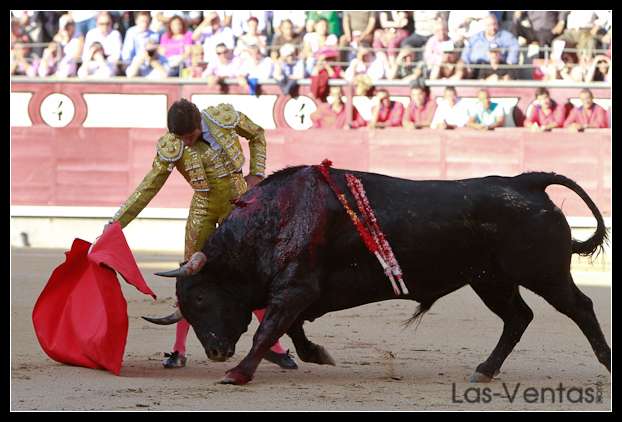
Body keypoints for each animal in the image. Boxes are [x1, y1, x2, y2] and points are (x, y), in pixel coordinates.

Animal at [144, 166, 612, 386]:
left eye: (200, 298)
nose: (216, 352)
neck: (273, 219)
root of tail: (526, 182)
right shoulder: (300, 293)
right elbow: (291, 328)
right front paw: (317, 354)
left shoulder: (296, 288)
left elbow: (269, 328)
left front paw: (238, 373)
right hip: (490, 280)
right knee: (518, 317)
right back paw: (484, 369)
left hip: (543, 272)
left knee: (580, 307)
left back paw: (606, 362)